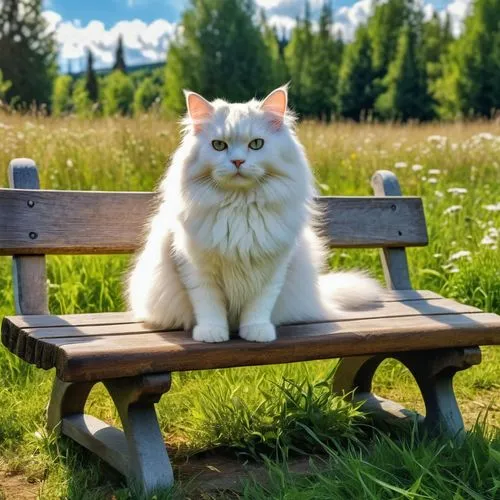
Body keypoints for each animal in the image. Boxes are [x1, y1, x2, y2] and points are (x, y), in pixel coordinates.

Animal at [127, 87, 380, 344]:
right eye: (219, 145)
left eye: (256, 144)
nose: (238, 161)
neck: (240, 208)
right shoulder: (196, 268)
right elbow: (209, 306)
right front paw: (212, 333)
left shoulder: (272, 269)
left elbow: (259, 307)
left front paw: (257, 333)